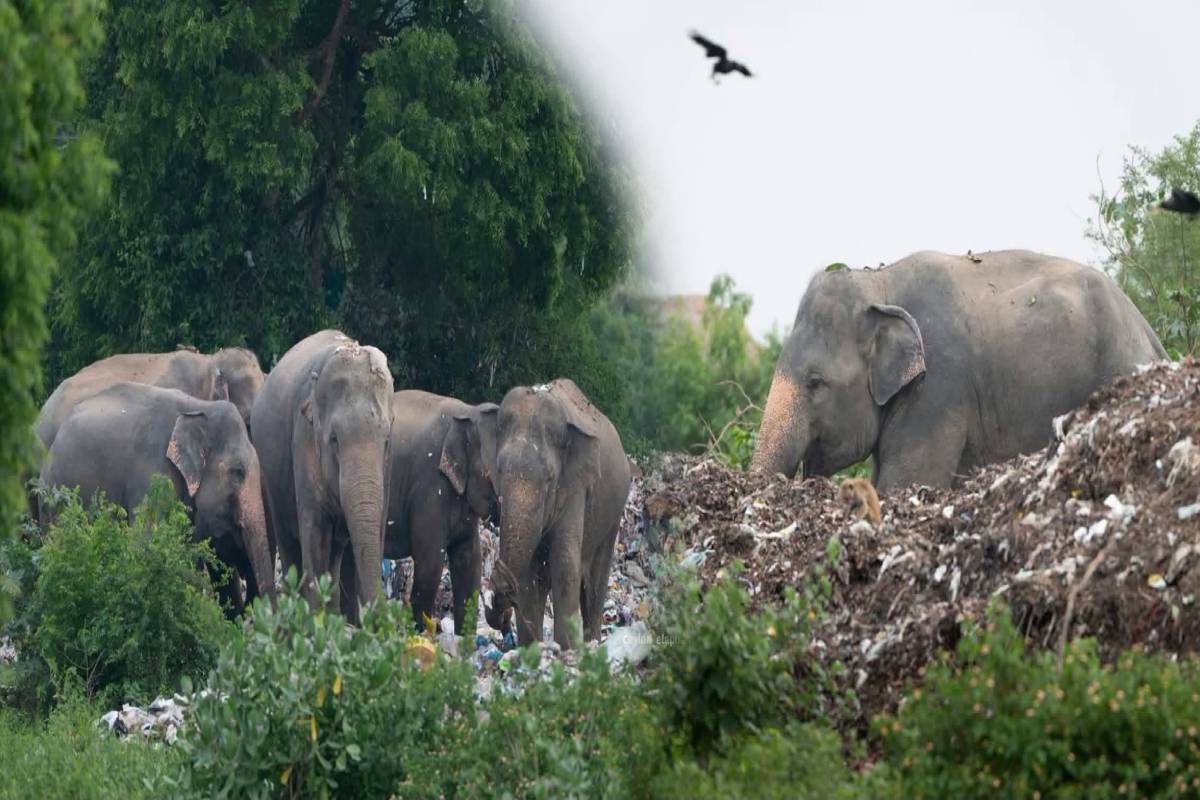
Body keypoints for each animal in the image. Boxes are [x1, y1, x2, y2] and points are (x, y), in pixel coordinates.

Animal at [251, 330, 394, 621]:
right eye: (334, 439)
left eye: (386, 440)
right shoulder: (304, 442)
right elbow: (314, 533)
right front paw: (316, 622)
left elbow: (374, 533)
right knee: (289, 542)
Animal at [382, 391, 499, 633]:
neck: (470, 410)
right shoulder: (430, 488)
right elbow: (431, 563)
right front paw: (420, 634)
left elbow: (469, 561)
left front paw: (463, 640)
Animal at [483, 379, 631, 649]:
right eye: (498, 470)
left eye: (550, 479)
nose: (503, 617)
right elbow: (528, 574)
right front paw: (531, 649)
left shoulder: (575, 488)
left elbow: (565, 563)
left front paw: (566, 649)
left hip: (613, 515)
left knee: (595, 582)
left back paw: (593, 641)